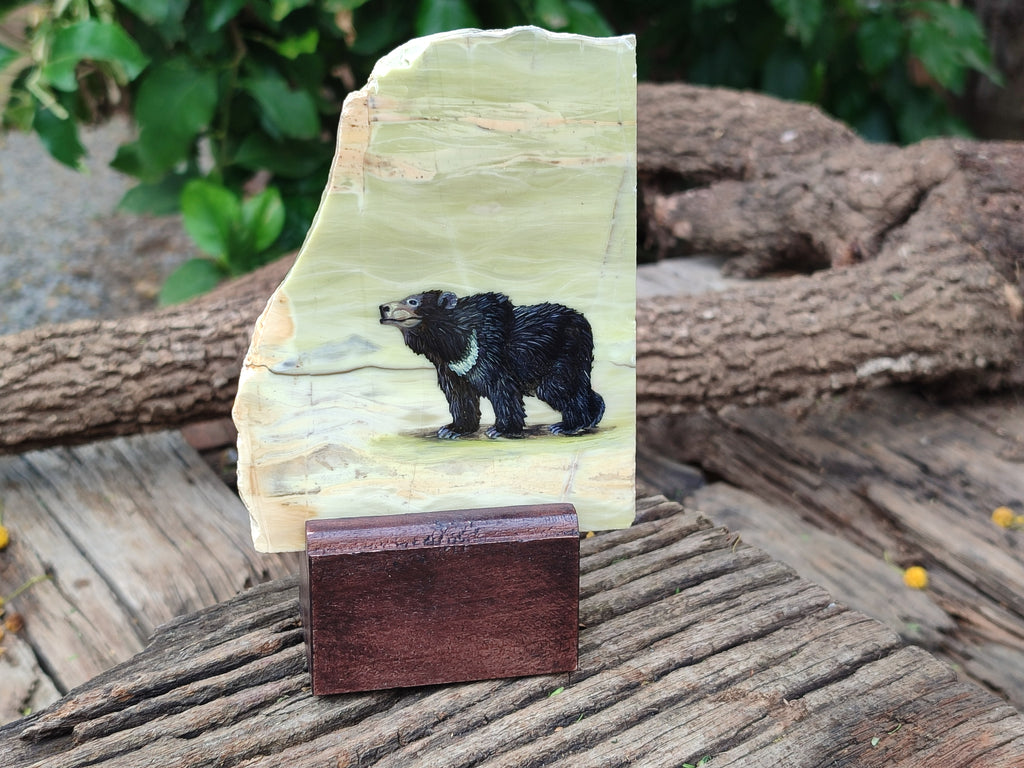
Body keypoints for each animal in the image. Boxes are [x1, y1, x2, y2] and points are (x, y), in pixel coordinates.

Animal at [379, 290, 605, 439]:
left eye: (412, 301)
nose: (383, 308)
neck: (452, 340)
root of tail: (584, 323)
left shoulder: (489, 353)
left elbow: (501, 388)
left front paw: (500, 430)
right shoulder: (452, 366)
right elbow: (460, 395)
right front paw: (452, 429)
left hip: (562, 352)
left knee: (559, 387)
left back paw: (568, 425)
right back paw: (593, 415)